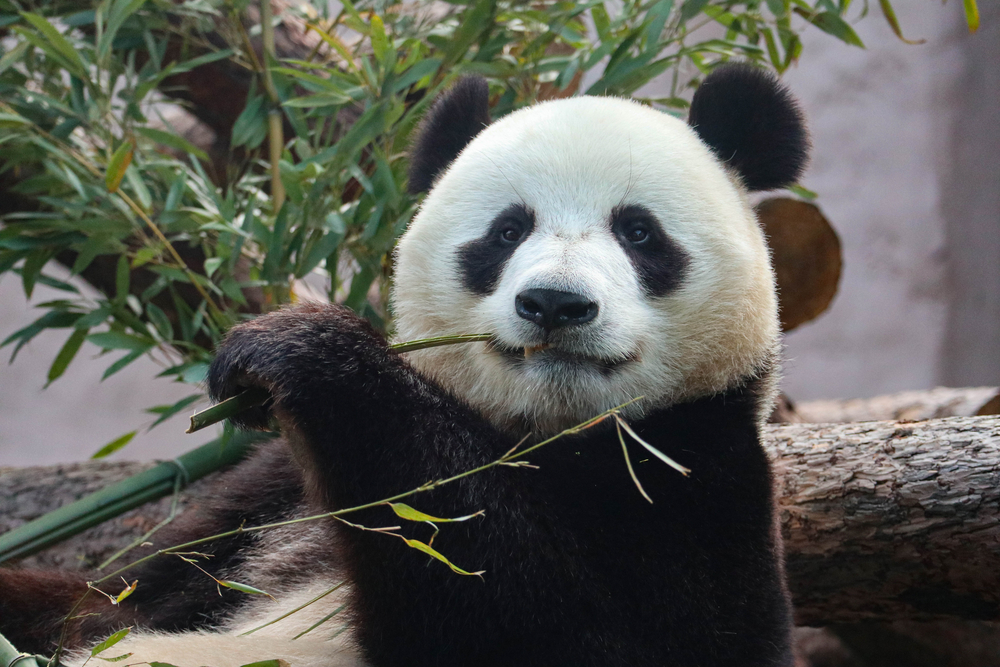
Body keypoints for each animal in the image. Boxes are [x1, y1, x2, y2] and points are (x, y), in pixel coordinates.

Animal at [0, 64, 807, 667]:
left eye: (639, 232)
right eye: (507, 230)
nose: (555, 303)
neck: (539, 431)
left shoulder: (695, 479)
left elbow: (549, 628)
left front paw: (308, 350)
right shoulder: (267, 496)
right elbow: (101, 604)